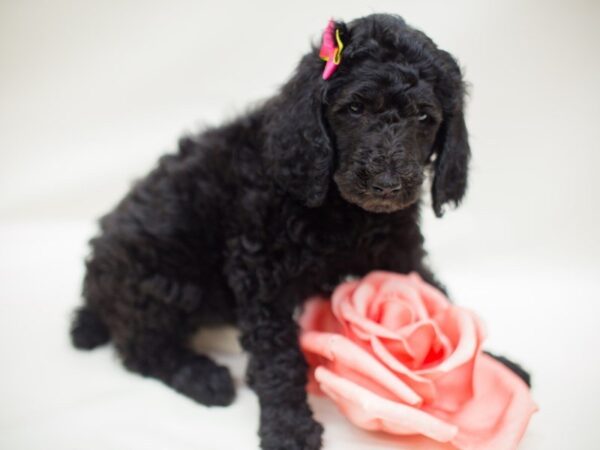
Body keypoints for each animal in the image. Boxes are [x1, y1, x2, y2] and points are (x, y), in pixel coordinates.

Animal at [71, 14, 528, 450]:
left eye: (424, 118)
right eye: (354, 110)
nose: (386, 184)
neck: (347, 211)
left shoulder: (400, 252)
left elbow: (441, 302)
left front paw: (495, 366)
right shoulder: (260, 273)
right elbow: (279, 359)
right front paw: (288, 427)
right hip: (165, 277)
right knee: (139, 349)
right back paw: (202, 377)